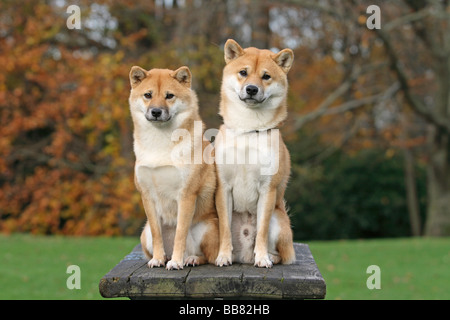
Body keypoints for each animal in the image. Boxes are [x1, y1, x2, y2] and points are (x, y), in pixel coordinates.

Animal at [127, 65, 219, 270]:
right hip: (144, 235)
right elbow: (157, 233)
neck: (160, 142)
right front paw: (157, 259)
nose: (156, 111)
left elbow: (180, 234)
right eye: (148, 95)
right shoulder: (147, 196)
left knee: (206, 256)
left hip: (206, 230)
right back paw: (166, 257)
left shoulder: (186, 195)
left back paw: (189, 259)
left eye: (169, 96)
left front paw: (176, 262)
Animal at [214, 39, 296, 268]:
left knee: (281, 252)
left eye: (266, 76)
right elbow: (225, 230)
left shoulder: (267, 190)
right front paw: (223, 256)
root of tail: (244, 257)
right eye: (243, 72)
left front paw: (262, 258)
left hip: (278, 219)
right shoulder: (223, 188)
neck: (248, 131)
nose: (251, 89)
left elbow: (261, 230)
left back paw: (267, 257)